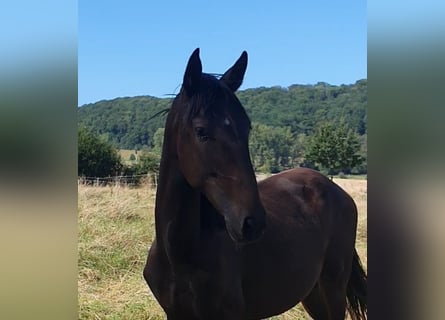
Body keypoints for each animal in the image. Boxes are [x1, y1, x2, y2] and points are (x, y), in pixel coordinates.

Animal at [144, 48, 366, 318]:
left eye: (247, 128)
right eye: (201, 131)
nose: (252, 222)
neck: (181, 255)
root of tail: (336, 191)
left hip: (333, 288)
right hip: (313, 292)